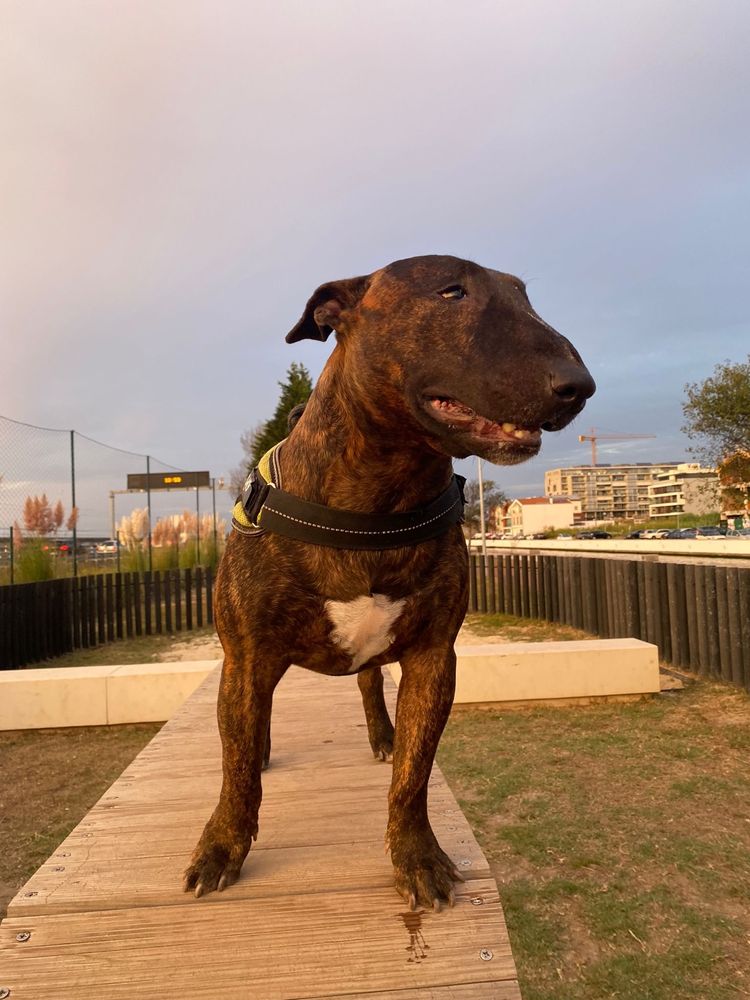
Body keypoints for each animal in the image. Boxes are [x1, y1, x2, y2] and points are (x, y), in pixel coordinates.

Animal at [185, 254, 596, 912]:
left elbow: (414, 773)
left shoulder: (433, 657)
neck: (382, 493)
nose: (578, 385)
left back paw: (381, 734)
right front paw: (222, 847)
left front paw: (417, 857)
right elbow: (238, 769)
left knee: (368, 683)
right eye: (451, 291)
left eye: (525, 296)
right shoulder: (246, 656)